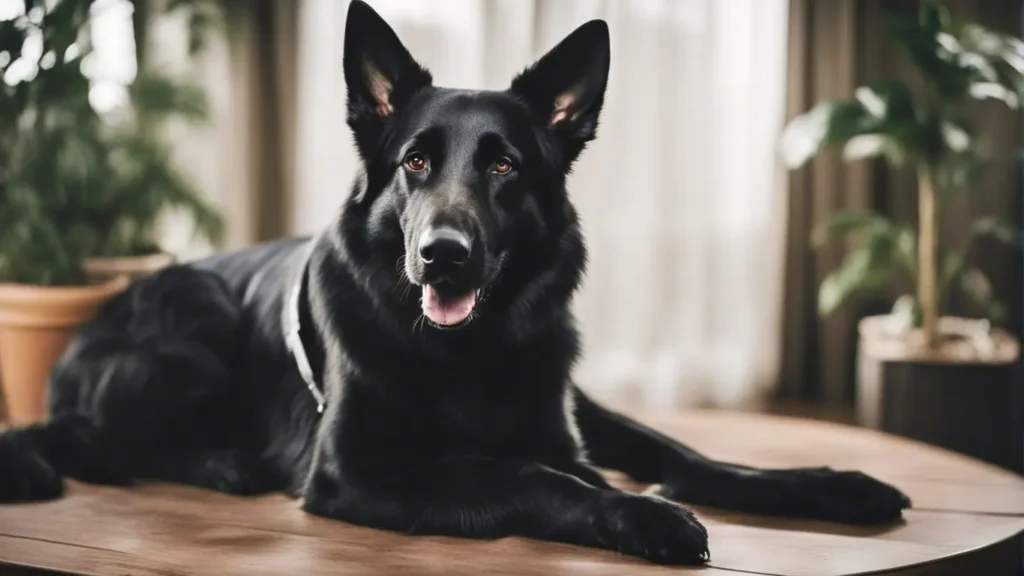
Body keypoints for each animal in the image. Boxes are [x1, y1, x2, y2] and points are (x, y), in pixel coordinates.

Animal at [0, 2, 913, 561]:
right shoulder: (361, 471)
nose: (444, 254)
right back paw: (221, 462)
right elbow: (523, 475)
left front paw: (828, 485)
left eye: (504, 165)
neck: (470, 353)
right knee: (86, 440)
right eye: (415, 163)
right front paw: (640, 511)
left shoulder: (569, 413)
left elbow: (687, 453)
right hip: (191, 338)